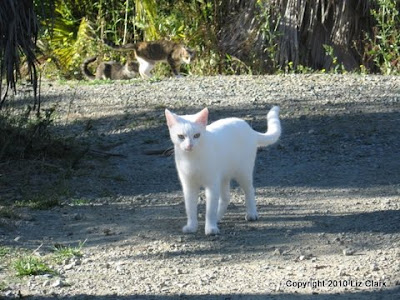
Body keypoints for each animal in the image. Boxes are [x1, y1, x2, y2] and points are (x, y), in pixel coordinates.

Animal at [164, 106, 280, 236]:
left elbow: (210, 210)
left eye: (197, 135)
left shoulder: (212, 184)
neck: (192, 159)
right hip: (223, 177)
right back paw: (218, 217)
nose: (190, 145)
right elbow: (190, 208)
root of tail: (250, 129)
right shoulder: (189, 186)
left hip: (243, 172)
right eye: (181, 136)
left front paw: (210, 228)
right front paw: (192, 226)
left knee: (249, 190)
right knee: (226, 198)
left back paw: (251, 213)